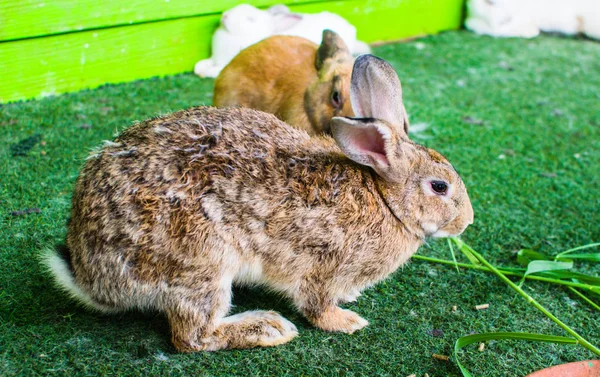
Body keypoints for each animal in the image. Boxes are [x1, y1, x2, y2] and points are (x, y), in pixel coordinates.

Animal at [42, 54, 474, 352]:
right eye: (439, 187)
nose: (467, 222)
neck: (385, 199)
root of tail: (89, 275)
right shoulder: (325, 265)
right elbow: (316, 304)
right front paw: (346, 320)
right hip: (200, 262)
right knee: (193, 336)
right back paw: (268, 328)